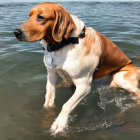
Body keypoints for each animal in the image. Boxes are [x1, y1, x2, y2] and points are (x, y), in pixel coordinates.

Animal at [13, 1, 140, 133]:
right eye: (29, 16)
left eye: (41, 17)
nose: (16, 32)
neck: (62, 45)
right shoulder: (52, 74)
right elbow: (48, 101)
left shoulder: (84, 85)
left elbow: (66, 105)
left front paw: (59, 122)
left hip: (121, 77)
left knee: (138, 93)